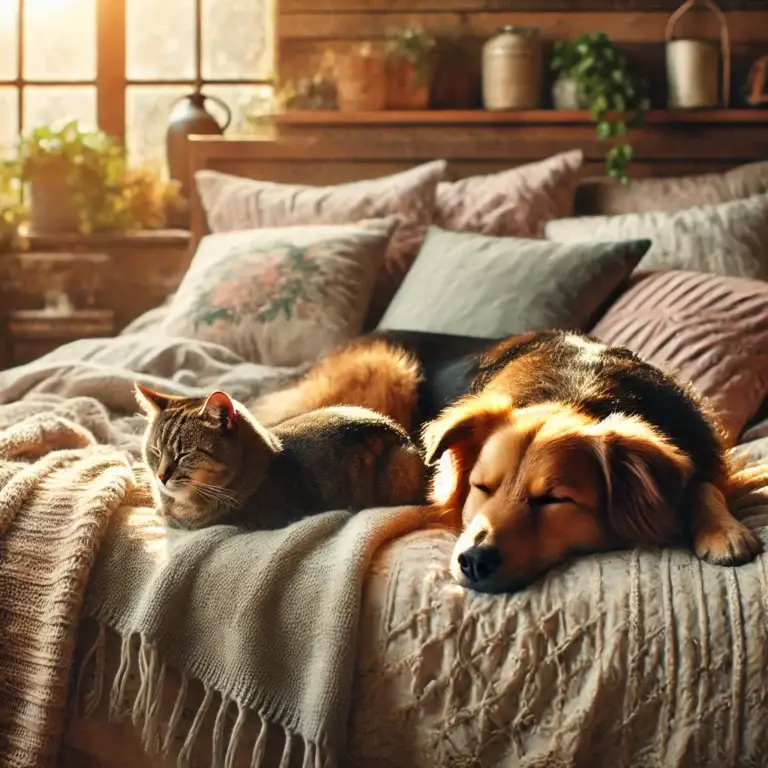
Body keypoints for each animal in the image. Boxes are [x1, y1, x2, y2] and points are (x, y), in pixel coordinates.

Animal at [250, 328, 760, 592]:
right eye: (482, 487)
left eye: (554, 500)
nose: (474, 561)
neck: (578, 392)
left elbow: (702, 484)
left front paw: (723, 528)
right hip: (385, 371)